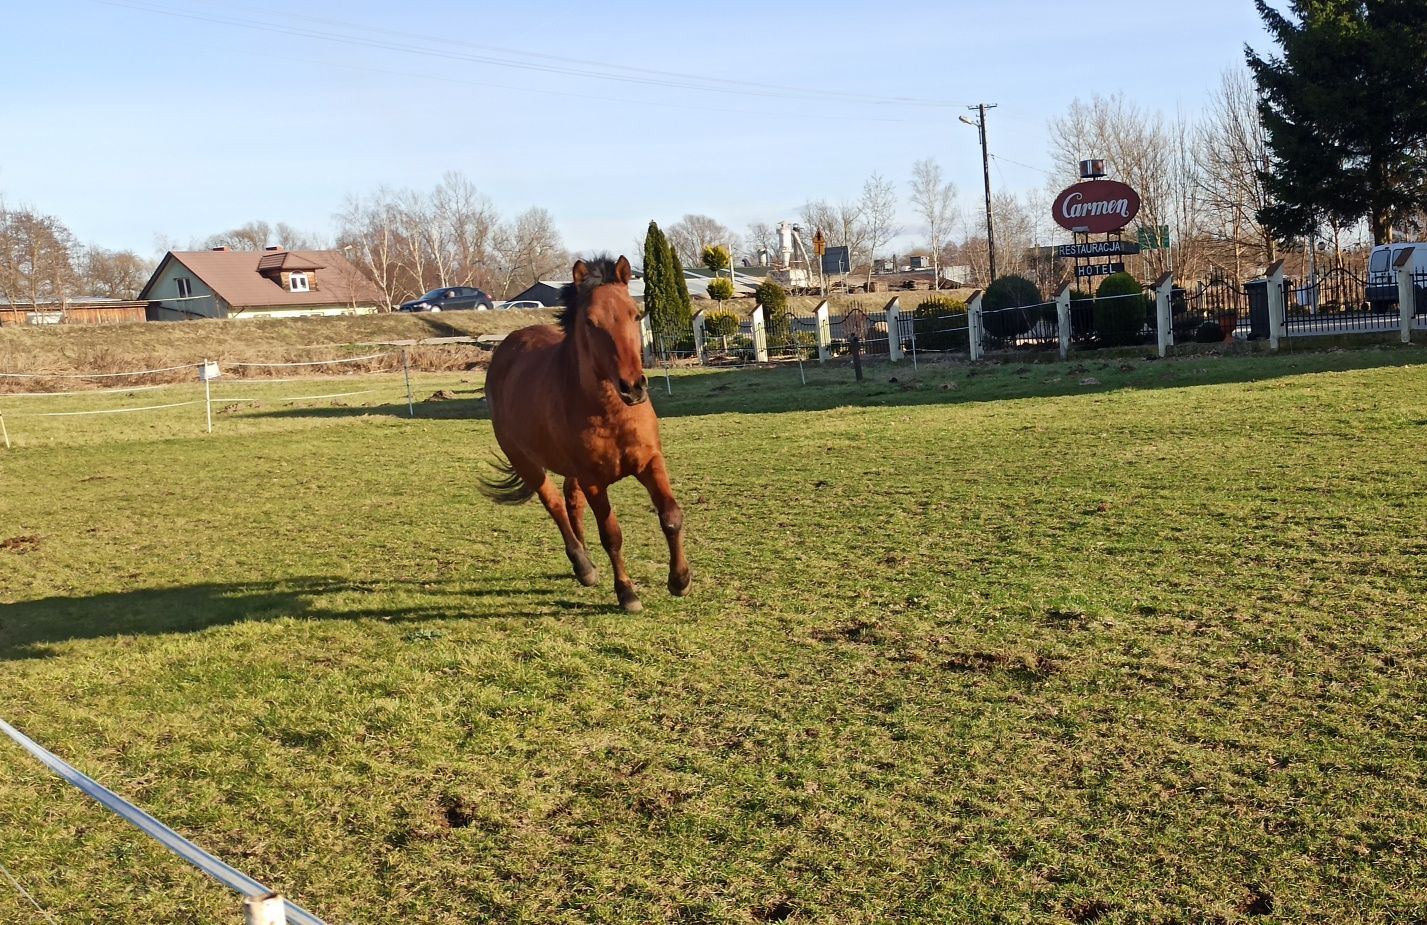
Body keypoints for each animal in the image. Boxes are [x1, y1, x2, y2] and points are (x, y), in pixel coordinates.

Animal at [479, 254, 690, 613]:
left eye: (636, 315)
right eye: (591, 322)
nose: (633, 387)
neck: (611, 412)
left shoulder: (649, 462)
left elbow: (670, 515)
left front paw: (679, 580)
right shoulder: (594, 480)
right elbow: (611, 535)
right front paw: (627, 593)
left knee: (571, 503)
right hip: (526, 462)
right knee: (555, 506)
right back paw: (583, 566)